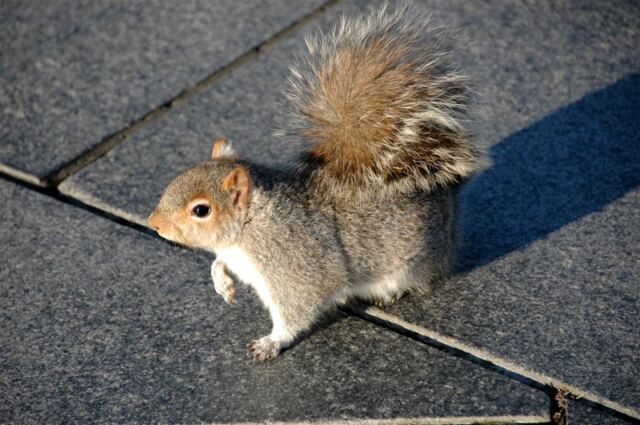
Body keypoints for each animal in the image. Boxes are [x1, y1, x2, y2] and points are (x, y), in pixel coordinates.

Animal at [148, 3, 485, 361]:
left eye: (201, 210)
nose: (154, 224)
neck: (250, 229)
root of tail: (448, 194)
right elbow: (219, 261)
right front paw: (221, 282)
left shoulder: (296, 264)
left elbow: (300, 307)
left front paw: (271, 342)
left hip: (415, 261)